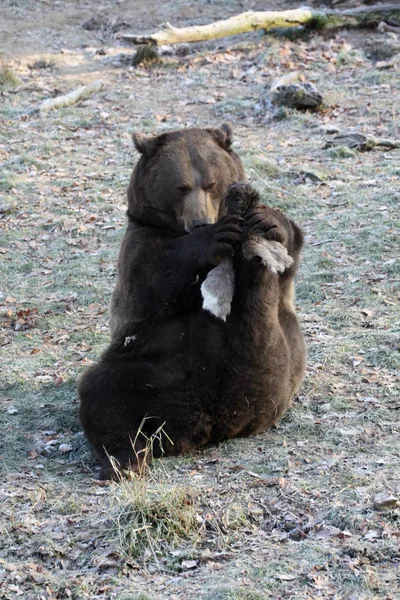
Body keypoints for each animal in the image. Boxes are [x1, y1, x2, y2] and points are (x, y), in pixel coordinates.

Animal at [78, 124, 304, 480]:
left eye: (210, 183)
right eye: (180, 186)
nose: (201, 222)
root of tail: (210, 423)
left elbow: (290, 248)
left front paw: (267, 219)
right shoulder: (140, 245)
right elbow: (155, 278)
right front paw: (215, 235)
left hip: (280, 365)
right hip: (151, 366)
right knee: (102, 392)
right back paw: (125, 459)